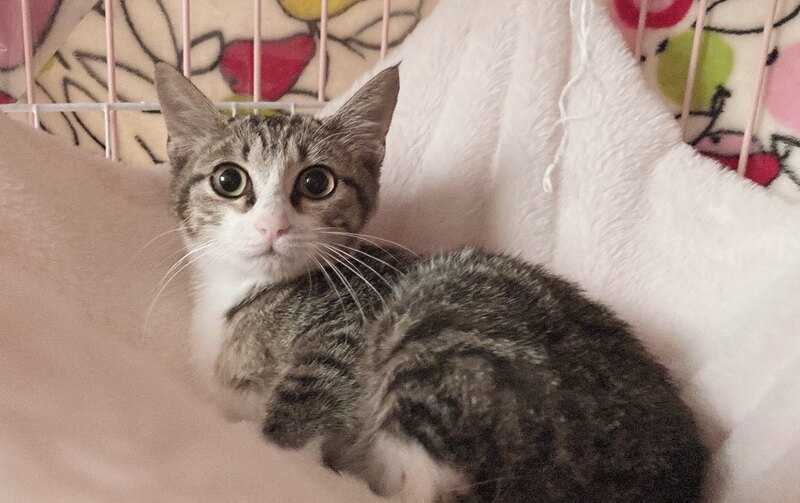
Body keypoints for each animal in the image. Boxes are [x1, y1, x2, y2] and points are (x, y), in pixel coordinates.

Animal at [154, 62, 708, 502]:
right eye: (229, 179)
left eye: (316, 182)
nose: (273, 226)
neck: (245, 295)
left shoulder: (343, 336)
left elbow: (289, 427)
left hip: (439, 325)